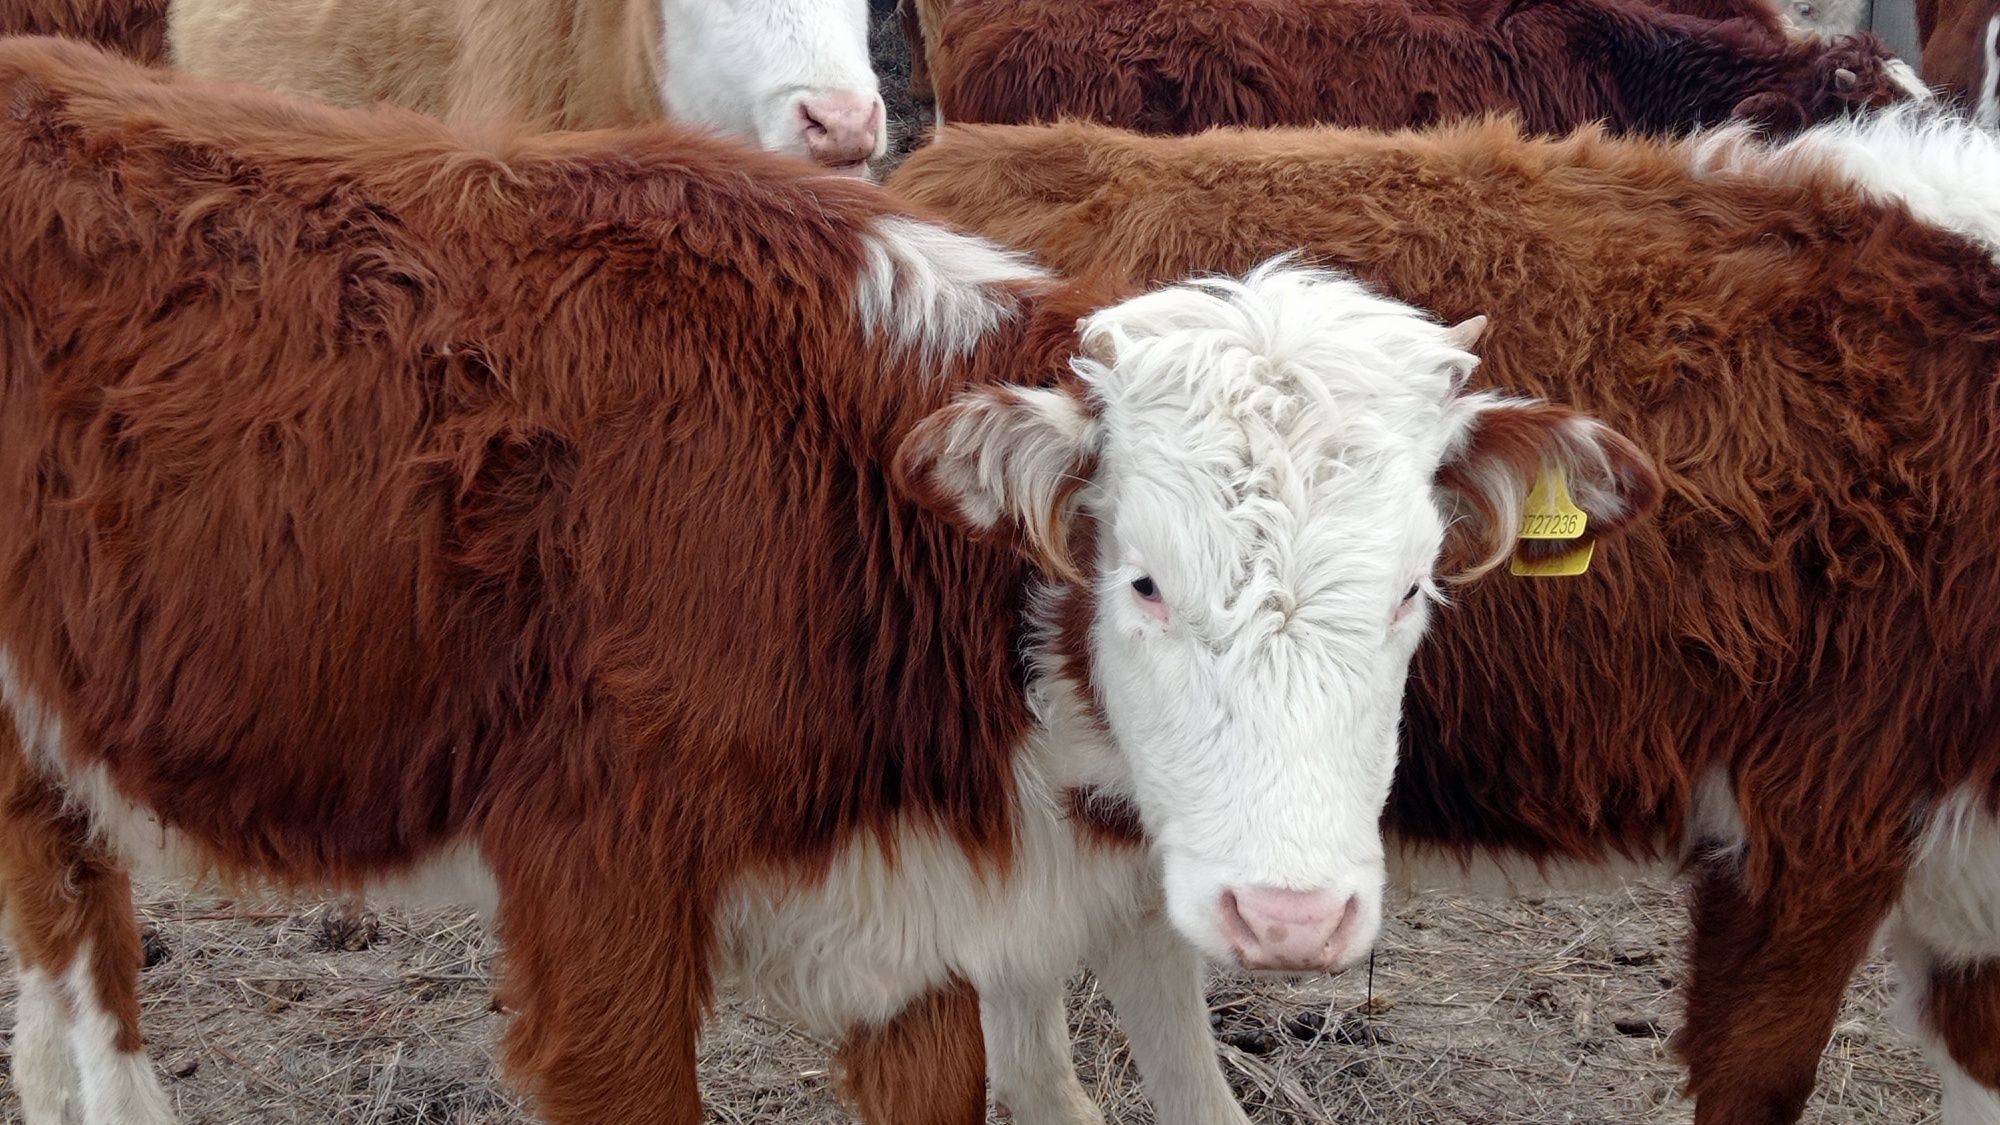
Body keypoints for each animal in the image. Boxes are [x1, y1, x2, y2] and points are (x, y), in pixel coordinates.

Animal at [0, 35, 1656, 1120]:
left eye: (1411, 590)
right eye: (1140, 582)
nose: (1293, 913)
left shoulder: (903, 931)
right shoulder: (599, 914)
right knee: (84, 945)